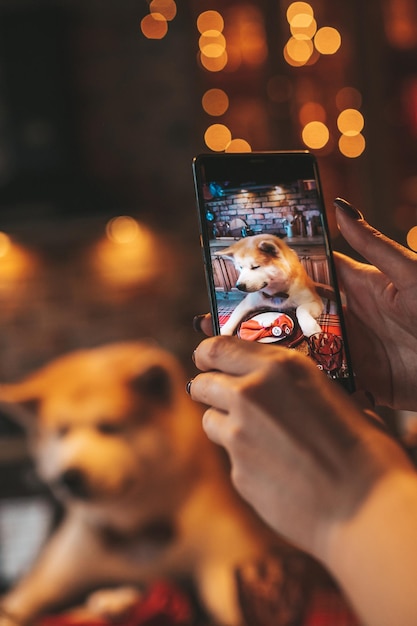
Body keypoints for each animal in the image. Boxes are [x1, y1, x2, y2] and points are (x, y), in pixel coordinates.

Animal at [0, 342, 282, 624]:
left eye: (109, 427)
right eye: (61, 431)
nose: (69, 477)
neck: (138, 532)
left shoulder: (226, 559)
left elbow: (231, 605)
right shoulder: (48, 578)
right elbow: (13, 607)